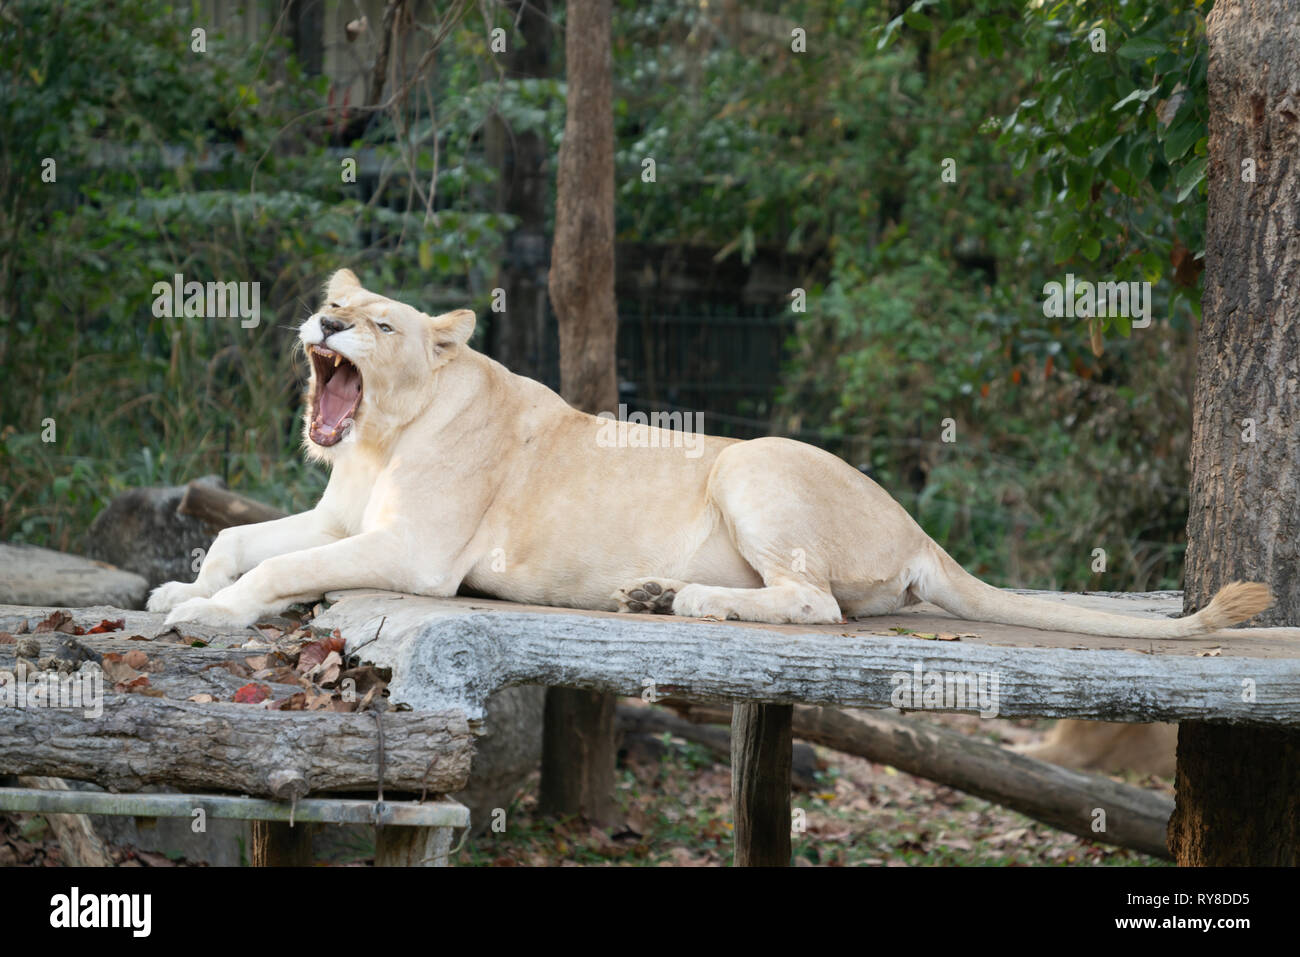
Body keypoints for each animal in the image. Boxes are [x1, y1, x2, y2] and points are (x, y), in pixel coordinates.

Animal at [149, 269, 1272, 636]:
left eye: (380, 326)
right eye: (335, 305)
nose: (327, 323)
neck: (380, 440)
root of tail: (918, 530)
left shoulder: (418, 555)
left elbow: (280, 568)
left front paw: (209, 614)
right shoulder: (342, 513)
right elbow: (241, 543)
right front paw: (181, 589)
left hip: (749, 465)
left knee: (813, 606)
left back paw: (677, 598)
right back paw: (652, 594)